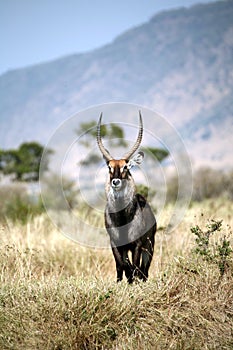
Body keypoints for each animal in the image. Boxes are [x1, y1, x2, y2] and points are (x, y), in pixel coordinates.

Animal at [96, 113, 157, 284]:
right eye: (109, 167)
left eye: (126, 166)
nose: (115, 182)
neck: (122, 218)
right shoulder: (115, 244)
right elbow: (121, 265)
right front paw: (121, 282)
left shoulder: (137, 245)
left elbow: (135, 266)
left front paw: (133, 281)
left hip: (149, 245)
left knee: (144, 269)